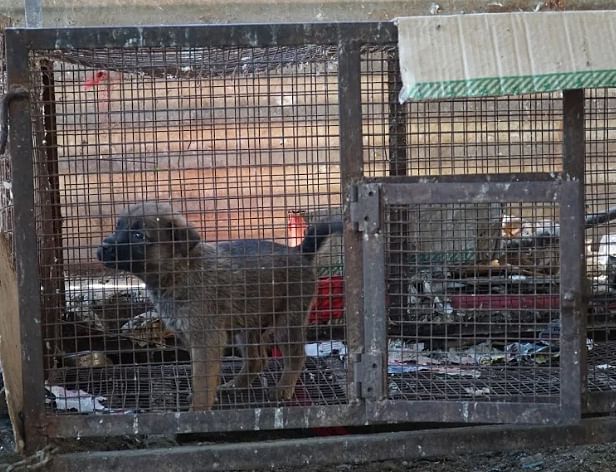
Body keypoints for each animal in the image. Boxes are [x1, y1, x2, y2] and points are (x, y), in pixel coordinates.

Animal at [96, 200, 342, 410]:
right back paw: (235, 385)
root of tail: (298, 252)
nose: (103, 247)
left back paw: (283, 388)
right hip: (249, 325)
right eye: (118, 227)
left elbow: (202, 381)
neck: (180, 271)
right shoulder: (189, 337)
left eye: (139, 235)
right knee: (257, 359)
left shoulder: (206, 339)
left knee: (296, 356)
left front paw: (198, 411)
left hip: (287, 321)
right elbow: (203, 377)